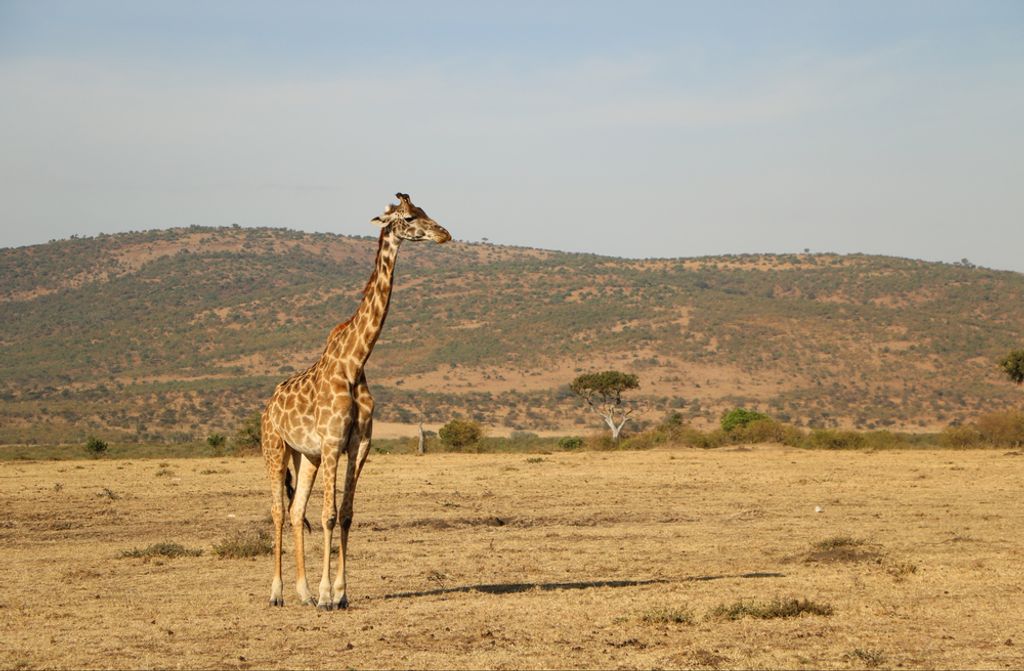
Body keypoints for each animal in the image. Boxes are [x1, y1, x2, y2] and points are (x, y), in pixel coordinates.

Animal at [261, 193, 450, 609]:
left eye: (425, 212)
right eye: (409, 218)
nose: (445, 234)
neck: (355, 362)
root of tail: (268, 406)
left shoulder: (357, 445)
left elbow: (346, 514)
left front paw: (341, 593)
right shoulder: (333, 443)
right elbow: (329, 515)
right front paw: (327, 595)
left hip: (307, 457)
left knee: (296, 511)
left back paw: (302, 593)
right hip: (275, 449)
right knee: (278, 511)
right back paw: (278, 593)